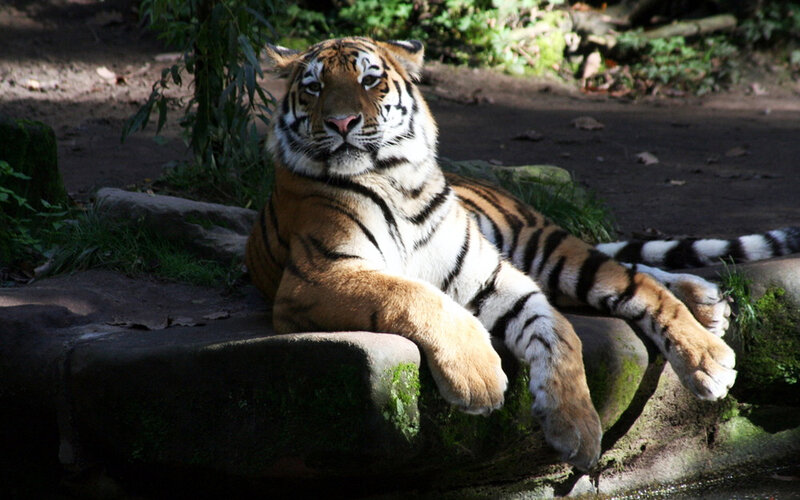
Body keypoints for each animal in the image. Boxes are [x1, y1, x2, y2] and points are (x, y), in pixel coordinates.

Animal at [244, 36, 800, 471]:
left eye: (371, 80)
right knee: (628, 272)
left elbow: (558, 332)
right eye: (314, 88)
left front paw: (576, 426)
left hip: (542, 248)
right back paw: (708, 304)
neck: (395, 178)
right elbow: (415, 294)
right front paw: (482, 379)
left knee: (631, 278)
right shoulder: (317, 276)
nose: (341, 122)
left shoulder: (491, 274)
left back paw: (707, 349)